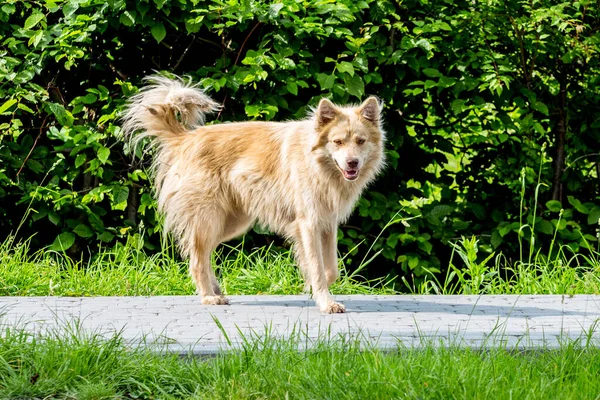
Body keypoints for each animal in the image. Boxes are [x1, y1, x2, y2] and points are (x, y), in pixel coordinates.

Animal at [121, 75, 384, 312]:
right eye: (337, 142)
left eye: (361, 141)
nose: (352, 163)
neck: (318, 164)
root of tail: (185, 138)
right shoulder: (308, 224)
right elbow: (318, 268)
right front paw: (325, 302)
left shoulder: (327, 225)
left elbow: (329, 270)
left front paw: (312, 289)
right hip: (209, 219)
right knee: (197, 258)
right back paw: (208, 296)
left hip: (231, 223)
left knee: (202, 254)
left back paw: (216, 289)